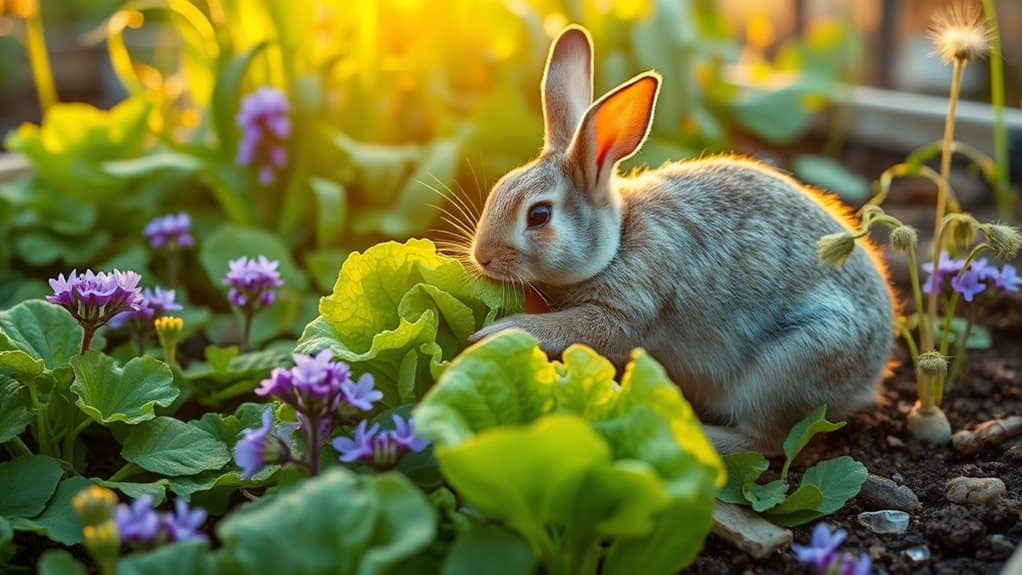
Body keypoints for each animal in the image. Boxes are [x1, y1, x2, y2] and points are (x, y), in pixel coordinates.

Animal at [467, 25, 895, 455]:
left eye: (539, 215)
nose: (482, 257)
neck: (619, 243)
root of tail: (871, 375)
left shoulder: (630, 306)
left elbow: (583, 329)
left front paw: (497, 333)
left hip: (788, 365)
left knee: (765, 440)